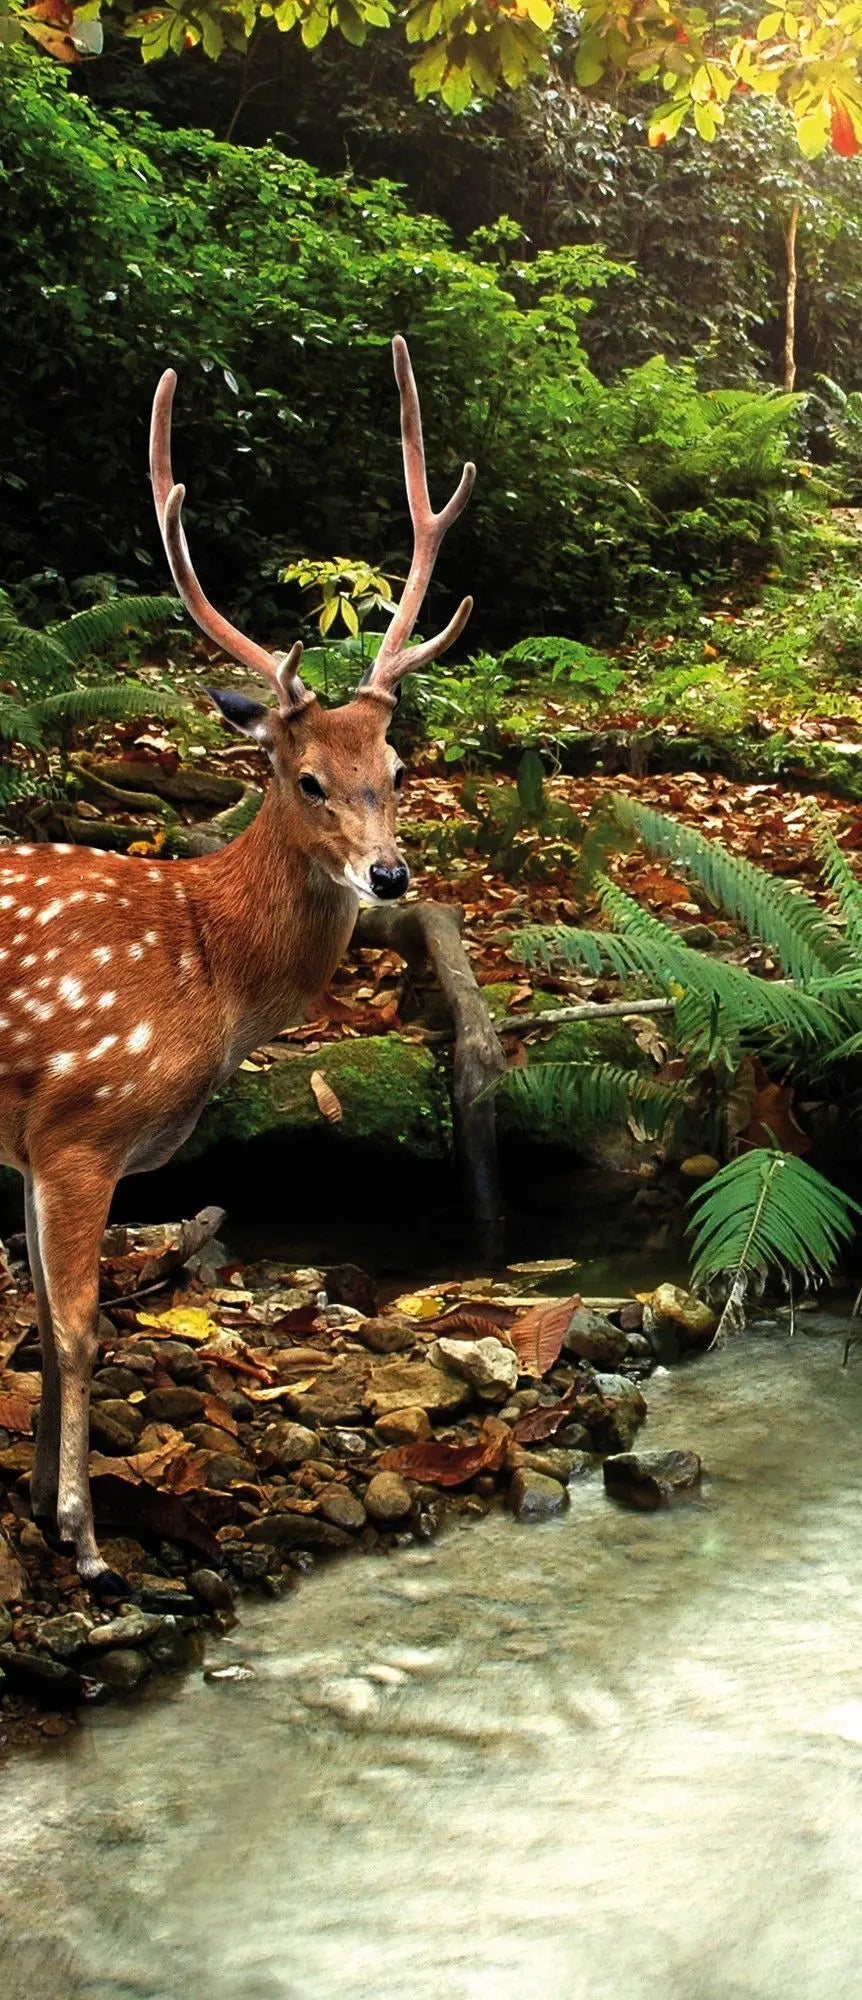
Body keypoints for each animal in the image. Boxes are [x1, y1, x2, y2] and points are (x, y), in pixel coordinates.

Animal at [0, 340, 476, 1592]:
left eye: (396, 768)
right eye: (304, 776)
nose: (389, 876)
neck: (204, 968)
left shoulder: (34, 1143)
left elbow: (42, 1325)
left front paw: (38, 1505)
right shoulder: (81, 1118)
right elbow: (81, 1328)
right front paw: (87, 1543)